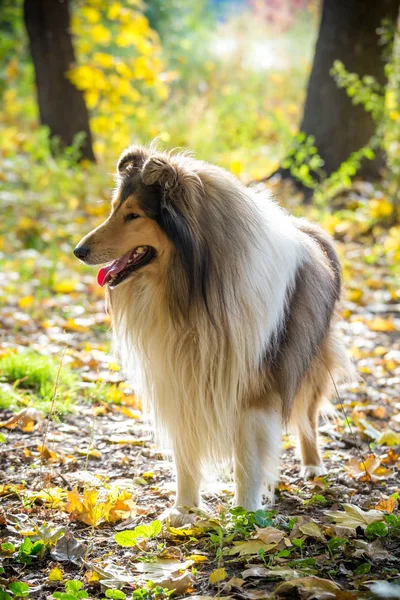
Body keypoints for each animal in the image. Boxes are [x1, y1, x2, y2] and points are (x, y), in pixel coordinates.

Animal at [75, 145, 350, 524]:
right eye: (115, 208)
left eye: (133, 215)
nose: (78, 251)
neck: (191, 293)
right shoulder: (180, 378)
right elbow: (186, 452)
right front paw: (184, 510)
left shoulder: (253, 386)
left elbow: (247, 458)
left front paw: (246, 514)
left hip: (307, 361)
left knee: (307, 417)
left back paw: (313, 467)